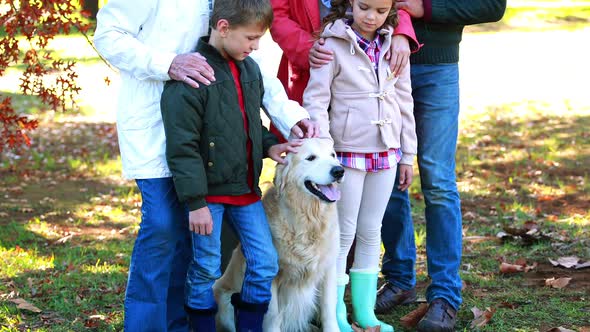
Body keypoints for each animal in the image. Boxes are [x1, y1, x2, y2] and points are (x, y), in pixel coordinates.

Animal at [215, 138, 346, 332]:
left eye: (333, 155)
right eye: (311, 158)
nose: (339, 171)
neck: (308, 220)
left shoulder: (328, 268)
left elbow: (329, 310)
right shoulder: (272, 279)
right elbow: (273, 316)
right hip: (225, 301)